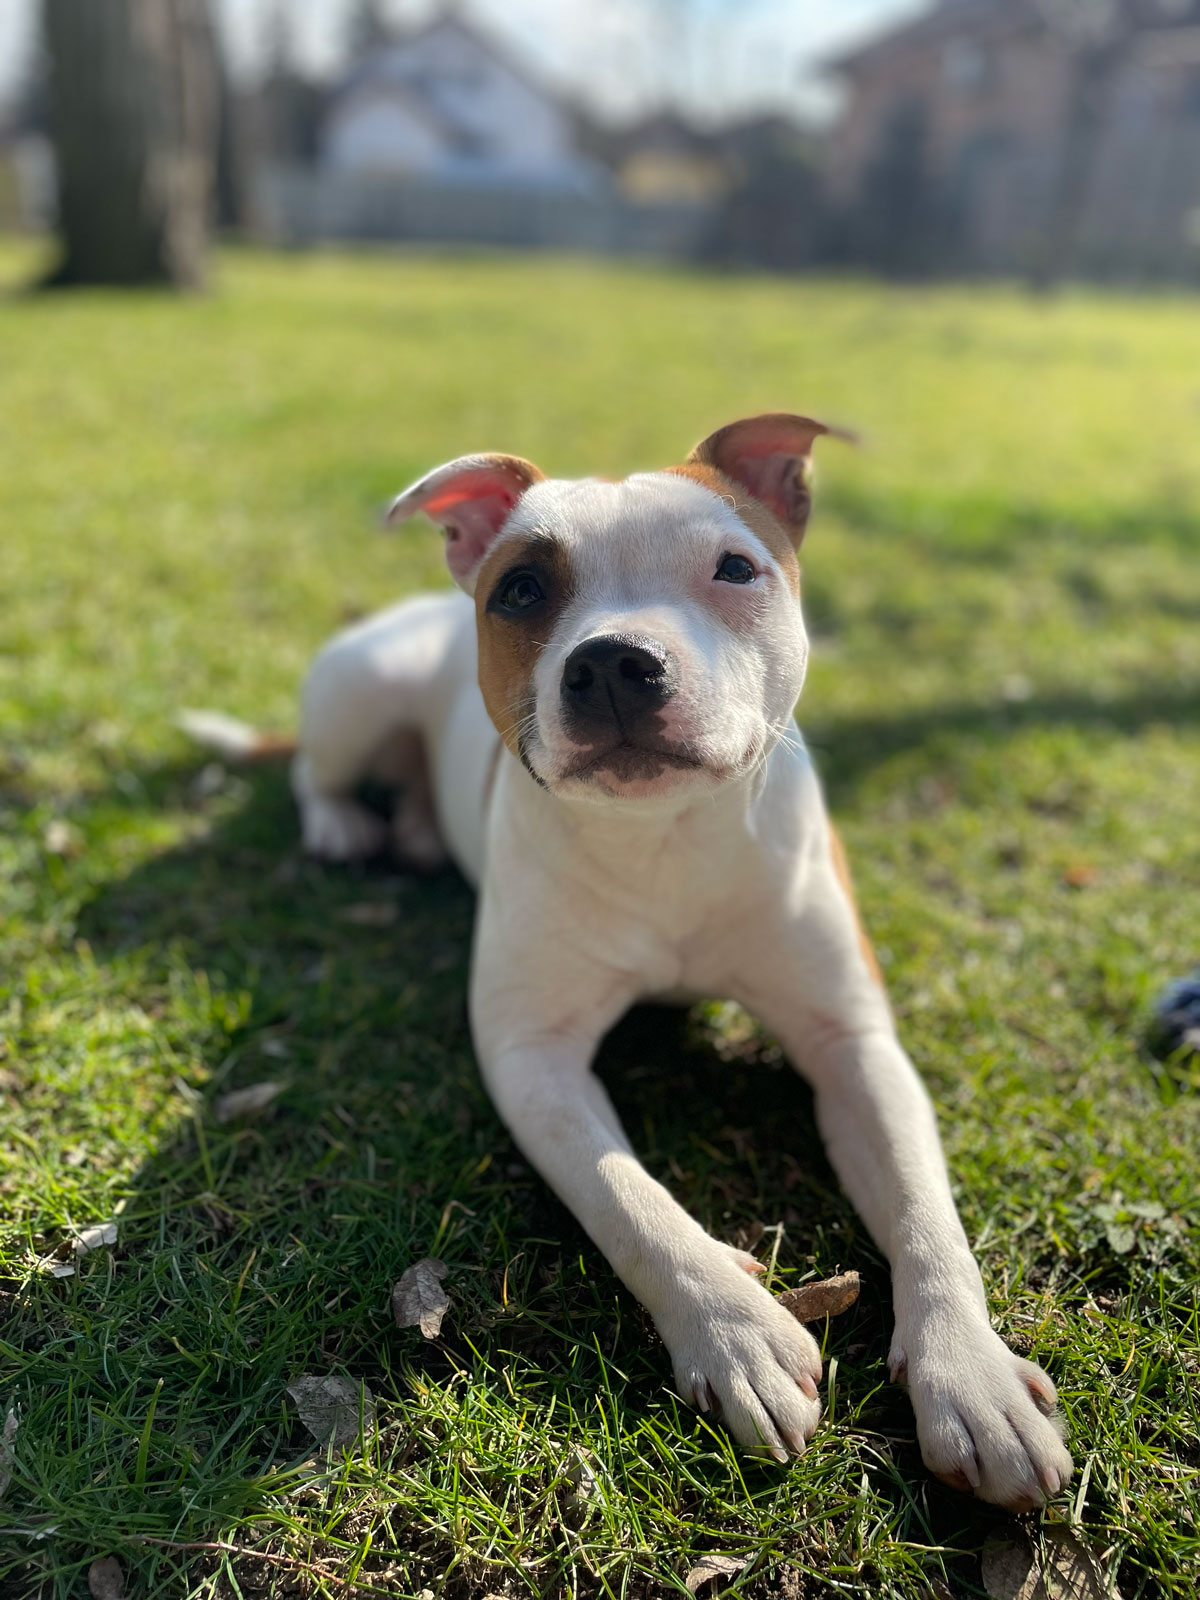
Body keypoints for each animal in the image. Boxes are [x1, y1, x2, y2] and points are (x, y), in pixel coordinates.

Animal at [185, 414, 1072, 1510]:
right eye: (523, 588)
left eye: (735, 567)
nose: (612, 662)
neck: (667, 839)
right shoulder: (532, 1057)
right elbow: (630, 1200)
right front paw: (736, 1332)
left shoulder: (852, 1040)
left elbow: (923, 1209)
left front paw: (973, 1377)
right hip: (357, 694)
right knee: (318, 770)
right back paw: (346, 826)